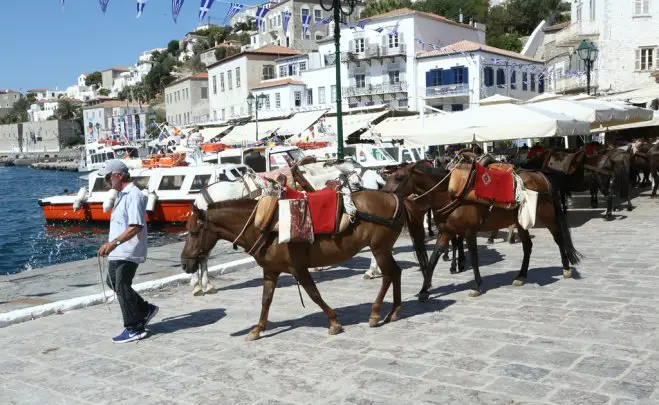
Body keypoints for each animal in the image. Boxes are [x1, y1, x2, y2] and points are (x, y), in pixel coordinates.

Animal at [179, 188, 418, 340]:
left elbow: (314, 295)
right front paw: (258, 329)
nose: (184, 264)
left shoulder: (299, 269)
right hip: (384, 250)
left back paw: (375, 313)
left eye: (193, 232)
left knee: (388, 276)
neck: (263, 224)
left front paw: (334, 322)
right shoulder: (270, 271)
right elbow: (266, 300)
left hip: (380, 249)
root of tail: (395, 198)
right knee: (396, 273)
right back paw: (394, 311)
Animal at [382, 159, 584, 298]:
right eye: (387, 177)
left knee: (559, 238)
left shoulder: (469, 231)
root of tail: (542, 176)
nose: (383, 195)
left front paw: (477, 286)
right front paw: (424, 290)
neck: (451, 193)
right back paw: (521, 276)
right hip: (520, 222)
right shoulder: (446, 231)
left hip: (547, 216)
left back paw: (566, 269)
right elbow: (433, 259)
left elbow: (474, 257)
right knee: (527, 246)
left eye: (399, 177)